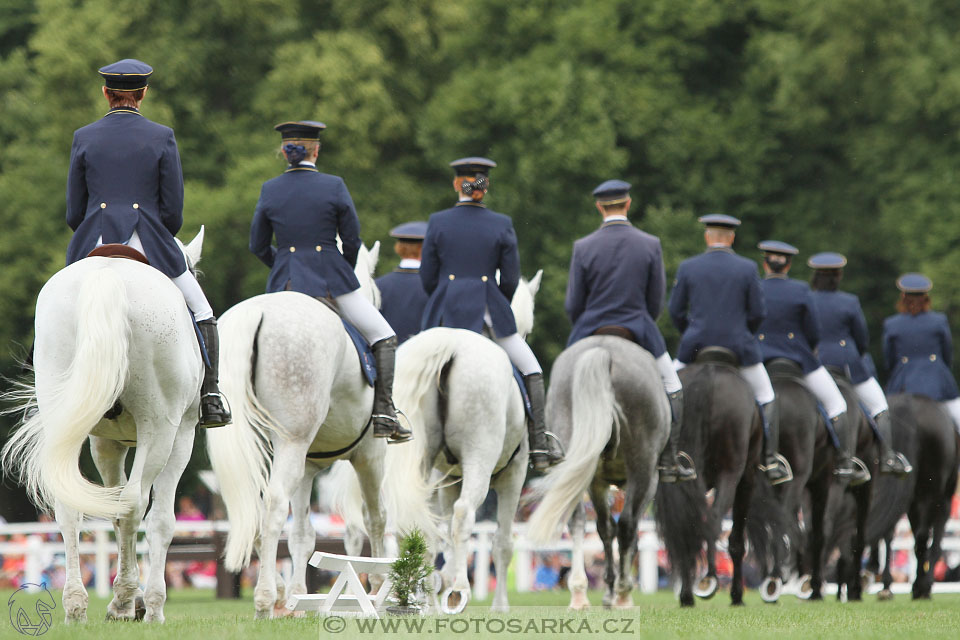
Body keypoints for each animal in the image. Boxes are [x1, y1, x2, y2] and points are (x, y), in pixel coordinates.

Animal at [2, 229, 208, 620]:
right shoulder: (182, 435)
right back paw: (128, 601)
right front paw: (147, 603)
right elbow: (159, 519)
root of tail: (107, 276)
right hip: (160, 429)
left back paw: (76, 605)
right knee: (134, 504)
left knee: (70, 504)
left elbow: (111, 512)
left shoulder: (105, 443)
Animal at [210, 242, 436, 616]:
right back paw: (265, 598)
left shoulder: (307, 467)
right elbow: (376, 517)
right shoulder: (371, 457)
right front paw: (378, 585)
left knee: (253, 512)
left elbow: (303, 534)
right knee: (273, 506)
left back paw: (278, 595)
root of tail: (258, 313)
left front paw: (299, 599)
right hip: (292, 440)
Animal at [368, 272, 544, 616]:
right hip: (480, 457)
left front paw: (443, 581)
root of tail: (451, 344)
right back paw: (458, 590)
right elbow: (503, 542)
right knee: (464, 515)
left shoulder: (448, 479)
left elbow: (444, 535)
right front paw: (499, 605)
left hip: (423, 464)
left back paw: (426, 596)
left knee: (420, 525)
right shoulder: (514, 476)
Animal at [656, 348, 760, 608]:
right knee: (713, 520)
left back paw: (687, 595)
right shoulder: (747, 479)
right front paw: (736, 595)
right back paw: (709, 580)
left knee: (684, 528)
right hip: (731, 474)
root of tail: (708, 375)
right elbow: (736, 540)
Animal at [860, 396, 956, 600]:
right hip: (932, 494)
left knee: (887, 530)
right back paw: (920, 586)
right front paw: (923, 585)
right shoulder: (941, 500)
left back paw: (885, 584)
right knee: (923, 538)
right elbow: (933, 542)